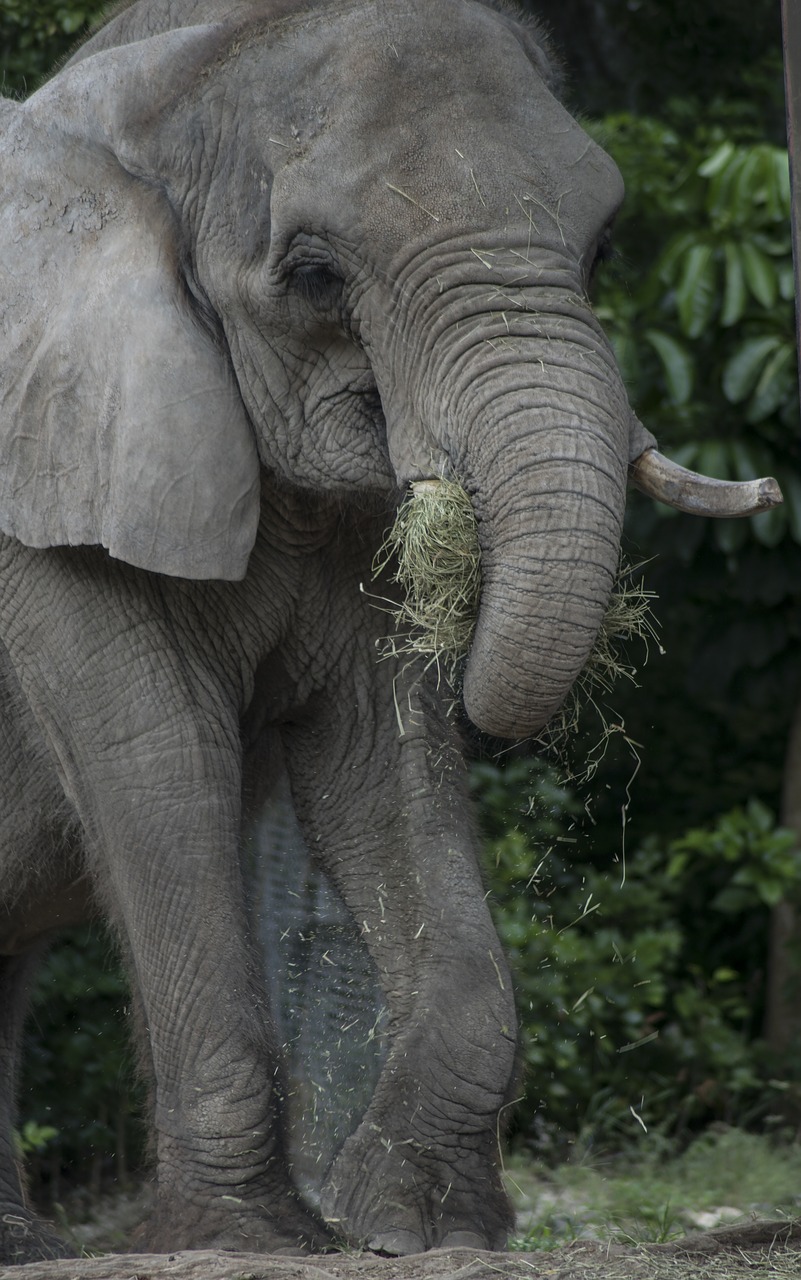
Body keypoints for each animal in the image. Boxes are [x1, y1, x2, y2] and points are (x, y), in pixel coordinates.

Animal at [0, 0, 777, 1264]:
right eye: (315, 273)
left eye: (603, 249)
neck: (159, 88)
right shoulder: (41, 490)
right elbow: (162, 758)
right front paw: (254, 1236)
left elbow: (387, 761)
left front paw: (414, 1224)